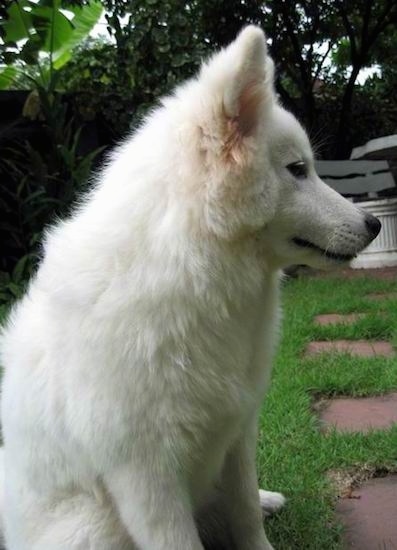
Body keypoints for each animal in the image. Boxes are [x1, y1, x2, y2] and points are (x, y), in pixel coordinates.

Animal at [0, 23, 380, 548]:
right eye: (298, 170)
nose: (375, 225)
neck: (197, 270)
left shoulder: (238, 430)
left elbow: (245, 511)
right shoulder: (146, 477)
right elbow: (180, 539)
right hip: (93, 525)